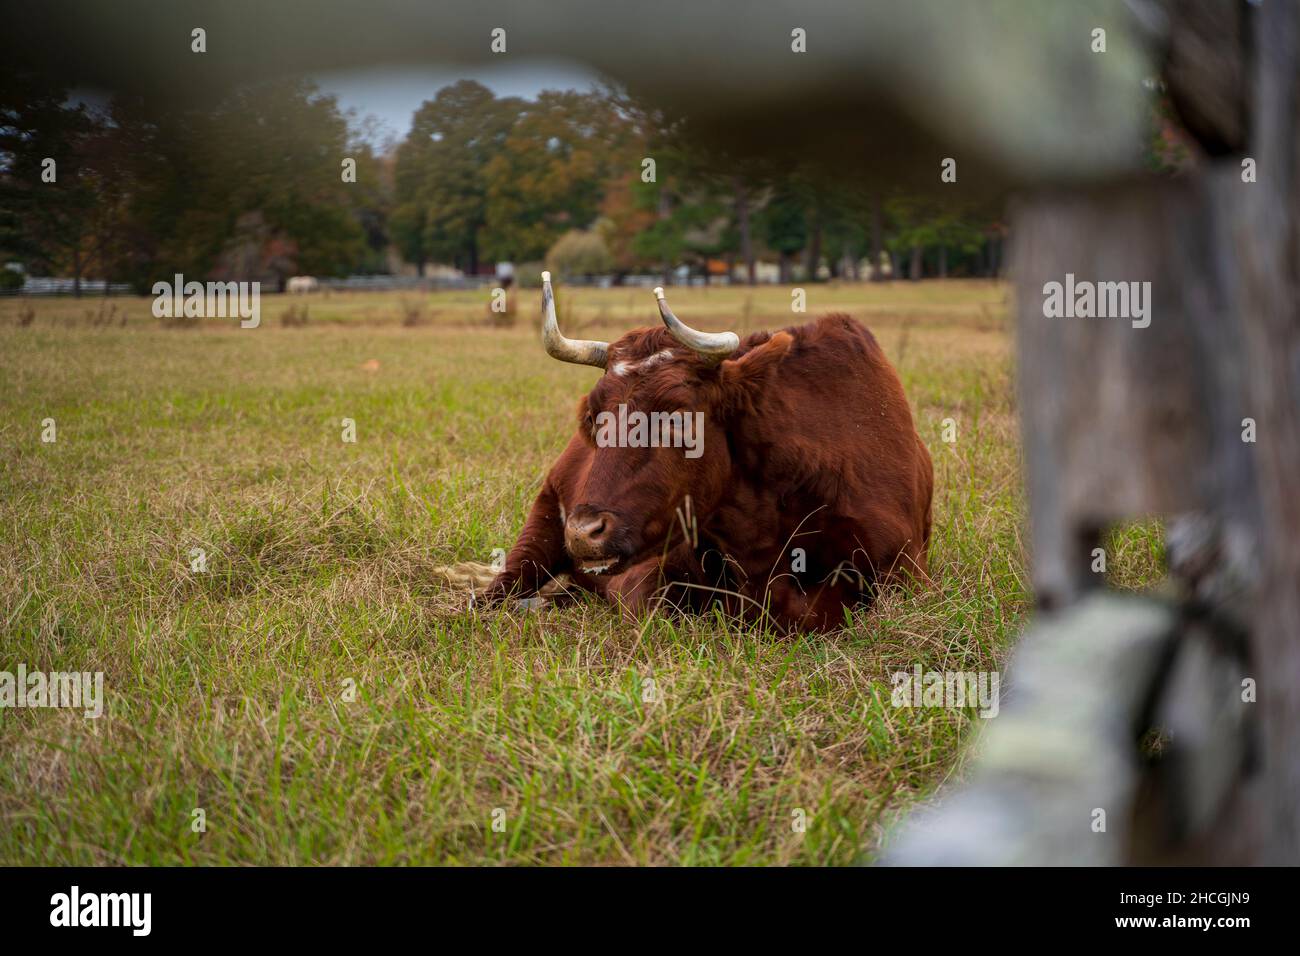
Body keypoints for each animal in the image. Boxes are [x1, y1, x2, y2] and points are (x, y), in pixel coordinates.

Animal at [485, 272, 934, 632]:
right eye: (595, 419)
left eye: (679, 419)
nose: (583, 531)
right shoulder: (643, 579)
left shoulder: (907, 576)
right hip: (539, 529)